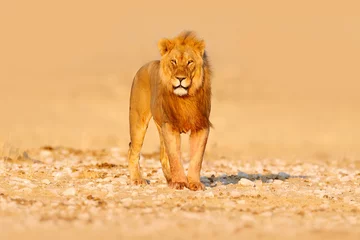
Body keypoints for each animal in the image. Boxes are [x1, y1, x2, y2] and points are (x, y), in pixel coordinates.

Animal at [127, 31, 211, 191]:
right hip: (138, 121)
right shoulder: (170, 126)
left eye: (190, 62)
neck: (185, 98)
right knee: (132, 149)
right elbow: (175, 157)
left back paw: (170, 179)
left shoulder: (201, 125)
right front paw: (180, 183)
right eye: (173, 61)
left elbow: (197, 158)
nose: (180, 78)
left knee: (162, 155)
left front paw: (194, 183)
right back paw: (137, 179)